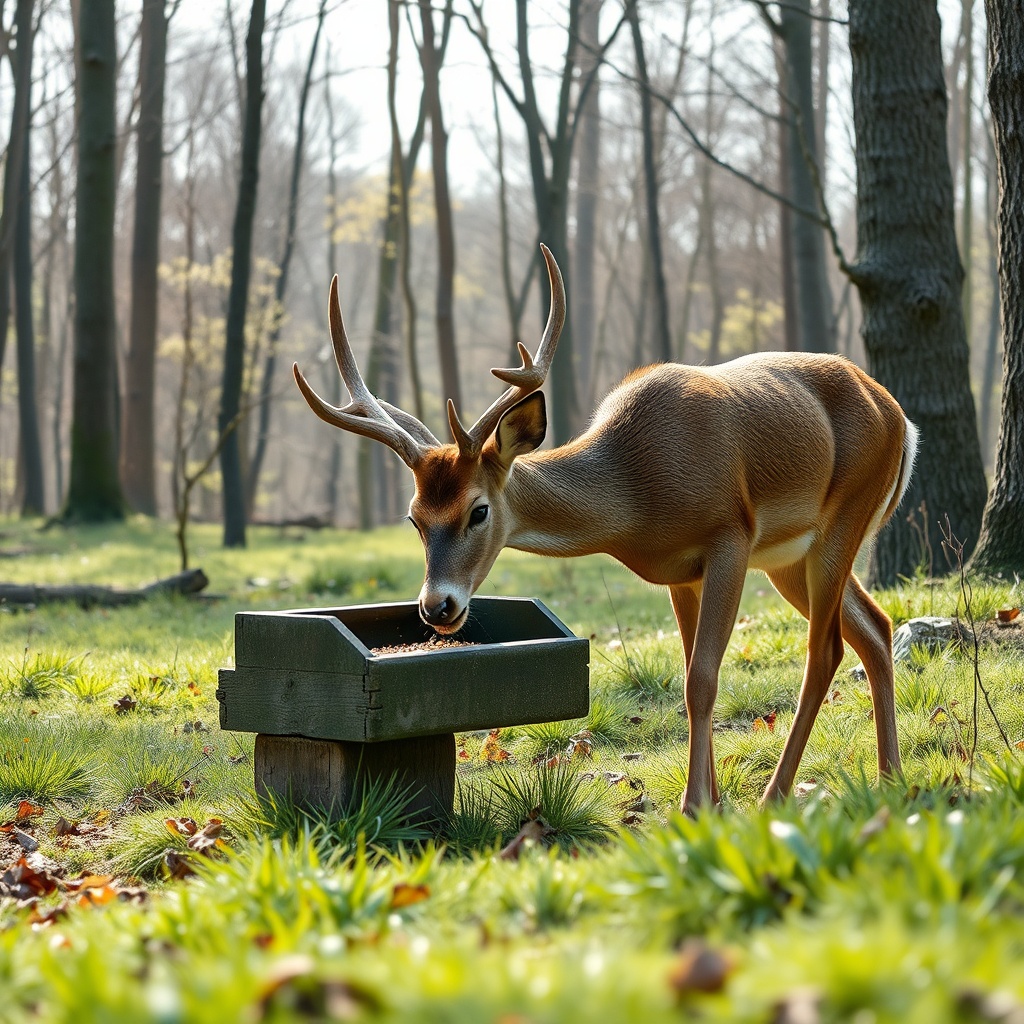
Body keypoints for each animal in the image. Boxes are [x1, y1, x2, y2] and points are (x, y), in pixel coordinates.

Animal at [293, 245, 918, 814]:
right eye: (414, 517)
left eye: (478, 510)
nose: (436, 607)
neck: (637, 498)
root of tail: (901, 419)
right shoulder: (680, 571)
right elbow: (691, 675)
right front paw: (711, 802)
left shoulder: (729, 536)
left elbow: (702, 679)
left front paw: (695, 807)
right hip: (791, 557)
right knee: (876, 627)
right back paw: (890, 778)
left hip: (842, 516)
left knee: (825, 648)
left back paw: (778, 794)